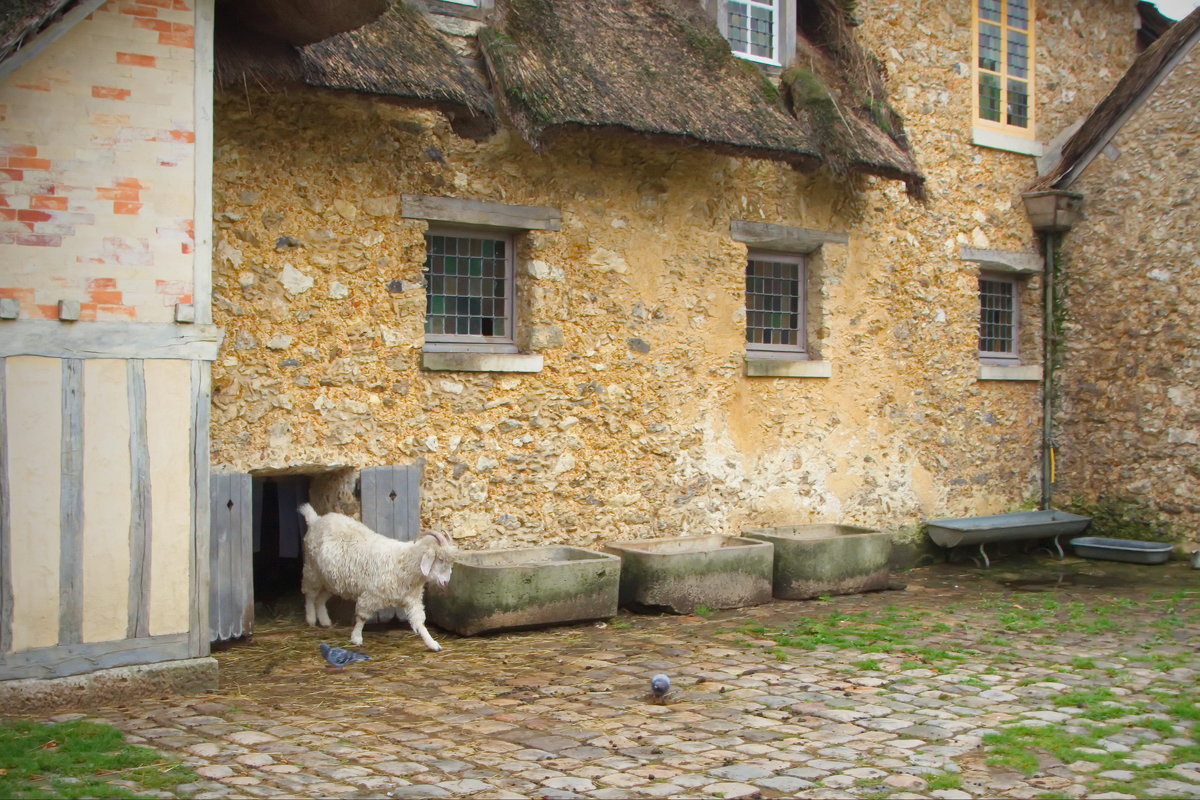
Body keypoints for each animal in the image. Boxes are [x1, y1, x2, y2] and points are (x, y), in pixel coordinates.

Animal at [297, 506, 451, 652]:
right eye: (440, 559)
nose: (445, 582)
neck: (404, 562)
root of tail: (316, 519)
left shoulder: (411, 599)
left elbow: (419, 622)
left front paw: (433, 644)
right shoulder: (371, 594)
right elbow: (362, 617)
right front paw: (356, 638)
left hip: (331, 580)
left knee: (320, 599)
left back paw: (324, 621)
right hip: (312, 570)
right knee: (310, 594)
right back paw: (311, 619)